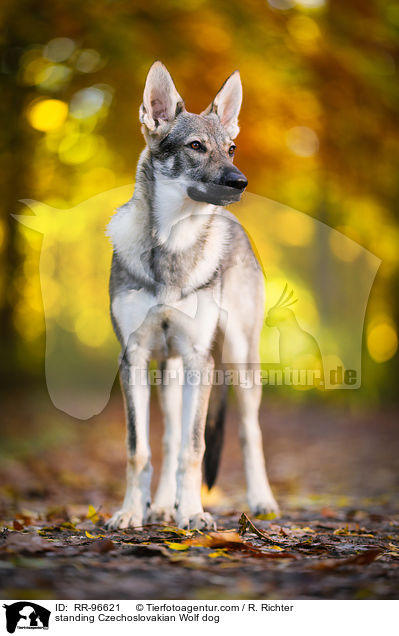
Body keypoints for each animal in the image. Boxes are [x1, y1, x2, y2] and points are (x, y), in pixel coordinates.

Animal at [107, 62, 282, 528]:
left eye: (232, 148)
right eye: (197, 146)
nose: (240, 182)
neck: (173, 244)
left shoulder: (199, 360)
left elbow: (194, 447)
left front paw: (194, 514)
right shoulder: (134, 358)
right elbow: (138, 450)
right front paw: (130, 513)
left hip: (240, 362)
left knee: (249, 431)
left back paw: (261, 500)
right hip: (168, 372)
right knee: (167, 439)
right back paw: (161, 506)